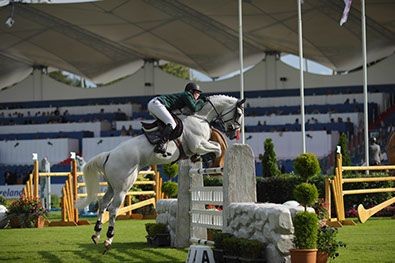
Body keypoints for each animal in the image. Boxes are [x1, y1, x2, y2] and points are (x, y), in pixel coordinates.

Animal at [76, 94, 246, 252]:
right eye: (238, 114)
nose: (234, 133)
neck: (200, 118)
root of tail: (109, 154)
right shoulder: (198, 144)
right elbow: (217, 148)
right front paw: (216, 163)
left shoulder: (199, 146)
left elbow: (215, 145)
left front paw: (201, 159)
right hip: (123, 187)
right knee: (112, 209)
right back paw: (108, 240)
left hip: (112, 186)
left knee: (103, 204)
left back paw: (96, 234)